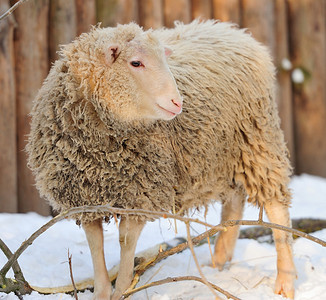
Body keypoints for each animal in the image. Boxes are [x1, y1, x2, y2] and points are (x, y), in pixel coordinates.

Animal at [26, 19, 296, 298]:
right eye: (135, 63)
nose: (178, 103)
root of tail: (235, 31)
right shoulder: (85, 200)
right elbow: (96, 245)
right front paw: (102, 292)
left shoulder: (141, 193)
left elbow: (126, 242)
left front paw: (122, 290)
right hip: (222, 157)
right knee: (234, 203)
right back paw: (219, 261)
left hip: (258, 142)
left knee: (276, 208)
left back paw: (285, 282)